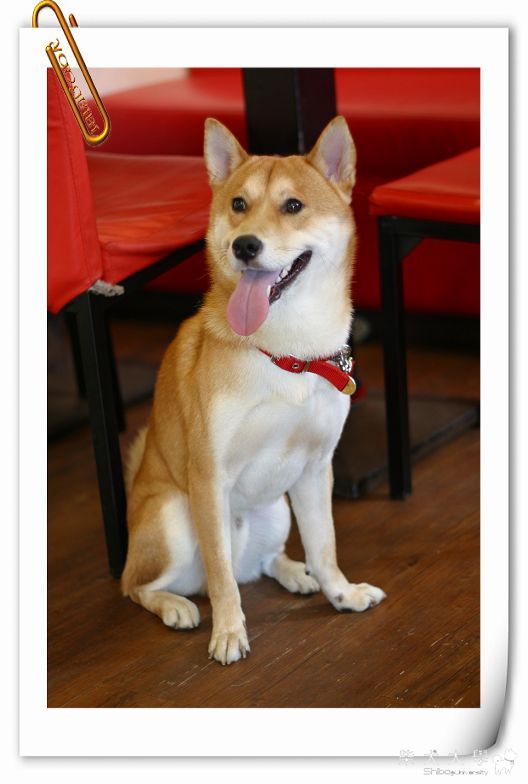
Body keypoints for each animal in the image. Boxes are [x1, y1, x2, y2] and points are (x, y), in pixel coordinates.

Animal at [121, 115, 386, 665]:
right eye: (238, 204)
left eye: (294, 206)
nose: (245, 245)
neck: (288, 352)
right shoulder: (208, 478)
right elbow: (223, 579)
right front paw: (228, 634)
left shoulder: (315, 469)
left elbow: (325, 547)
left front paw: (341, 594)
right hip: (173, 518)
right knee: (140, 585)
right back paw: (176, 605)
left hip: (277, 507)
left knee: (263, 563)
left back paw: (294, 573)